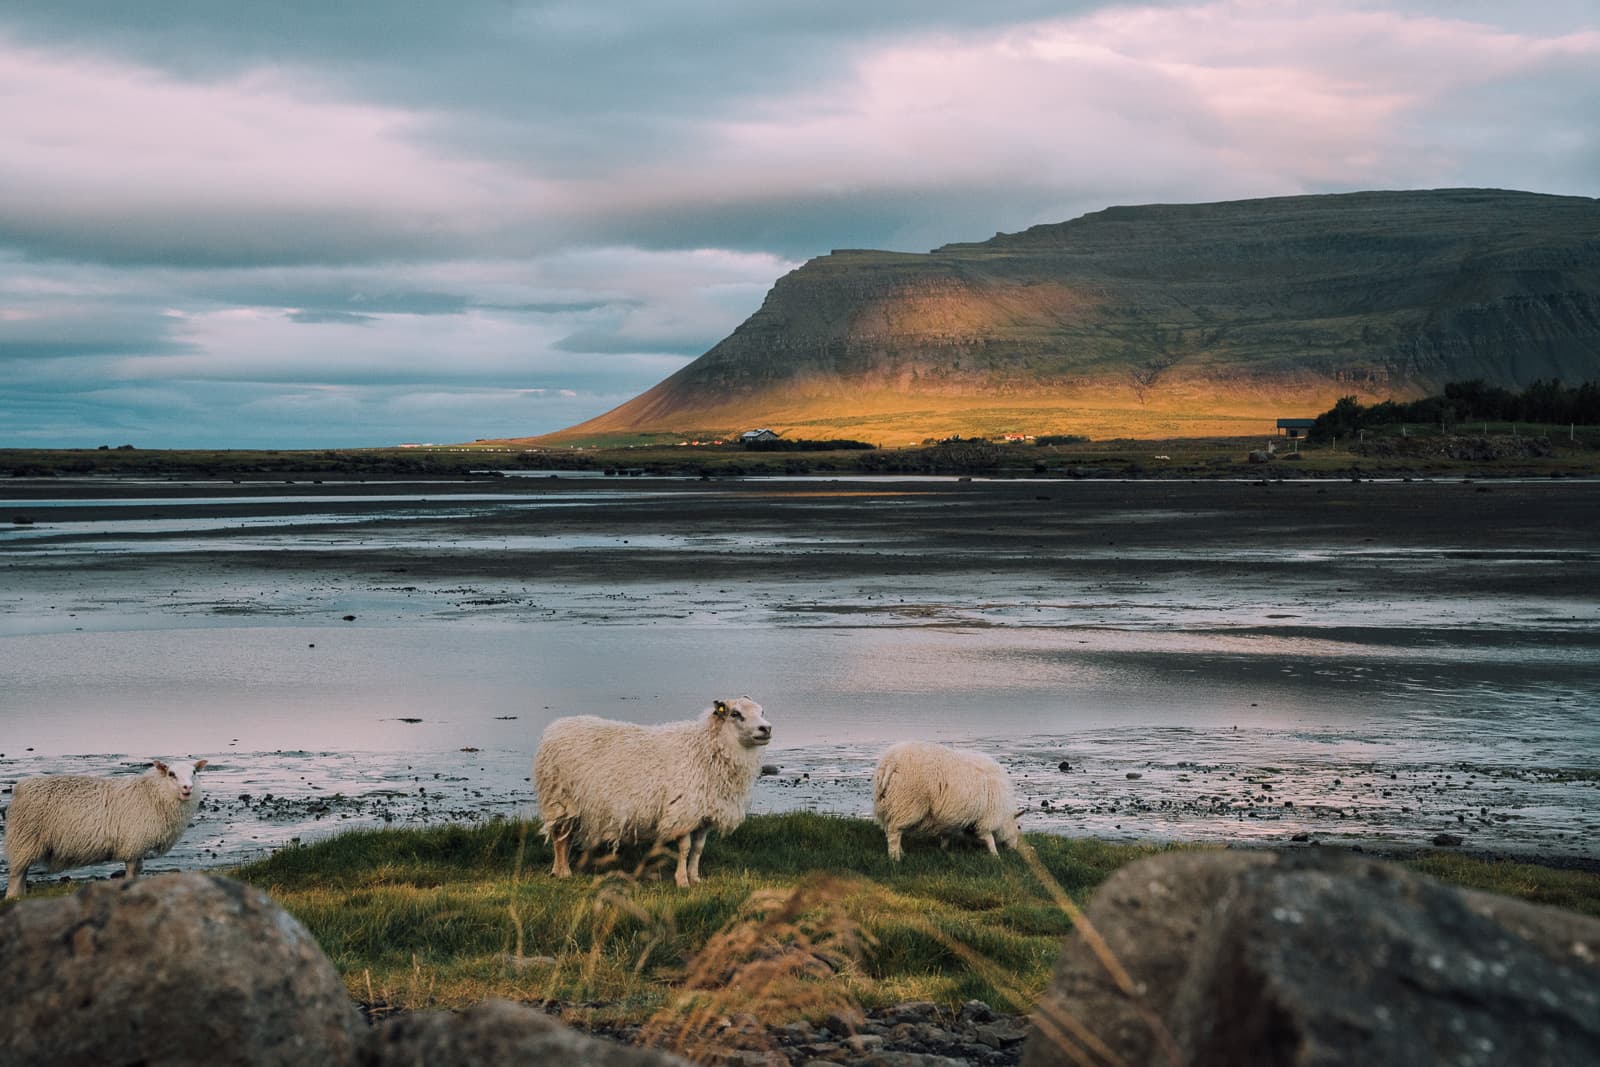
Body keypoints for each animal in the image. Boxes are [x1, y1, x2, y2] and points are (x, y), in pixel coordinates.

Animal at [3, 759, 207, 899]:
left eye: (194, 772)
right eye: (171, 774)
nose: (187, 787)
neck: (152, 794)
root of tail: (20, 787)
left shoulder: (138, 845)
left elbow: (139, 869)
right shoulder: (133, 843)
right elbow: (132, 871)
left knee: (22, 873)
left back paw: (20, 896)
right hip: (24, 839)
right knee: (16, 874)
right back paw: (13, 897)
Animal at [532, 697, 772, 887]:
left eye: (762, 712)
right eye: (735, 714)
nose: (766, 729)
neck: (705, 749)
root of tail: (555, 727)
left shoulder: (704, 814)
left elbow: (698, 849)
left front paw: (695, 878)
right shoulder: (682, 812)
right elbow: (685, 848)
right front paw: (682, 881)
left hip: (571, 803)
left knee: (565, 837)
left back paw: (558, 870)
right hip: (559, 798)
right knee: (559, 838)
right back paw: (564, 872)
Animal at [872, 741, 1020, 861]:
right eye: (1018, 827)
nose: (1014, 849)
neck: (1004, 815)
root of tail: (891, 761)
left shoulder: (953, 817)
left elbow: (947, 835)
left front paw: (943, 849)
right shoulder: (985, 818)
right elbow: (989, 838)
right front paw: (996, 856)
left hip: (886, 802)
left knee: (890, 830)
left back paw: (901, 853)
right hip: (907, 802)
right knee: (894, 832)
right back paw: (895, 857)